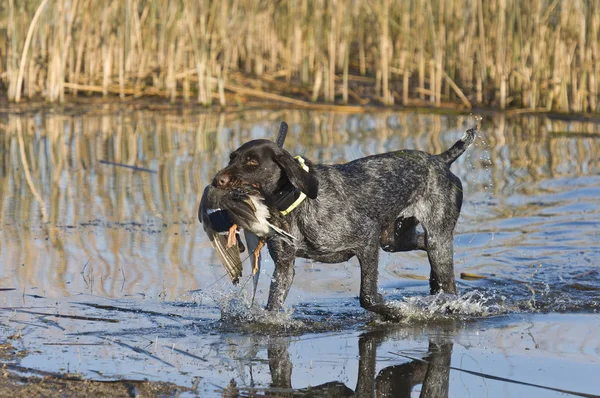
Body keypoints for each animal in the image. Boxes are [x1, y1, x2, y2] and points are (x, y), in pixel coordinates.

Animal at [211, 126, 478, 318]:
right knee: (423, 246)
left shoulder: (367, 240)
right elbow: (273, 305)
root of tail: (440, 160)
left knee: (449, 283)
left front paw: (398, 313)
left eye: (252, 162)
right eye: (232, 158)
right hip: (395, 240)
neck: (295, 204)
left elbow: (368, 297)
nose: (216, 181)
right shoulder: (285, 266)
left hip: (436, 239)